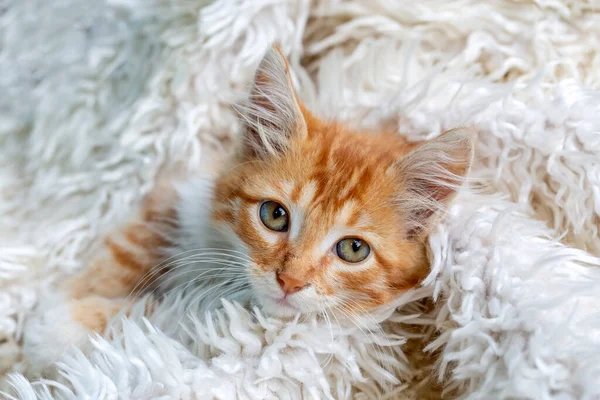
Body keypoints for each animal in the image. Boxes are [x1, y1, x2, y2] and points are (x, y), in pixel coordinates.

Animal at [22, 46, 474, 376]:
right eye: (275, 215)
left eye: (353, 249)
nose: (290, 281)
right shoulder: (181, 190)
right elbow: (125, 251)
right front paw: (65, 305)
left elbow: (157, 317)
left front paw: (64, 327)